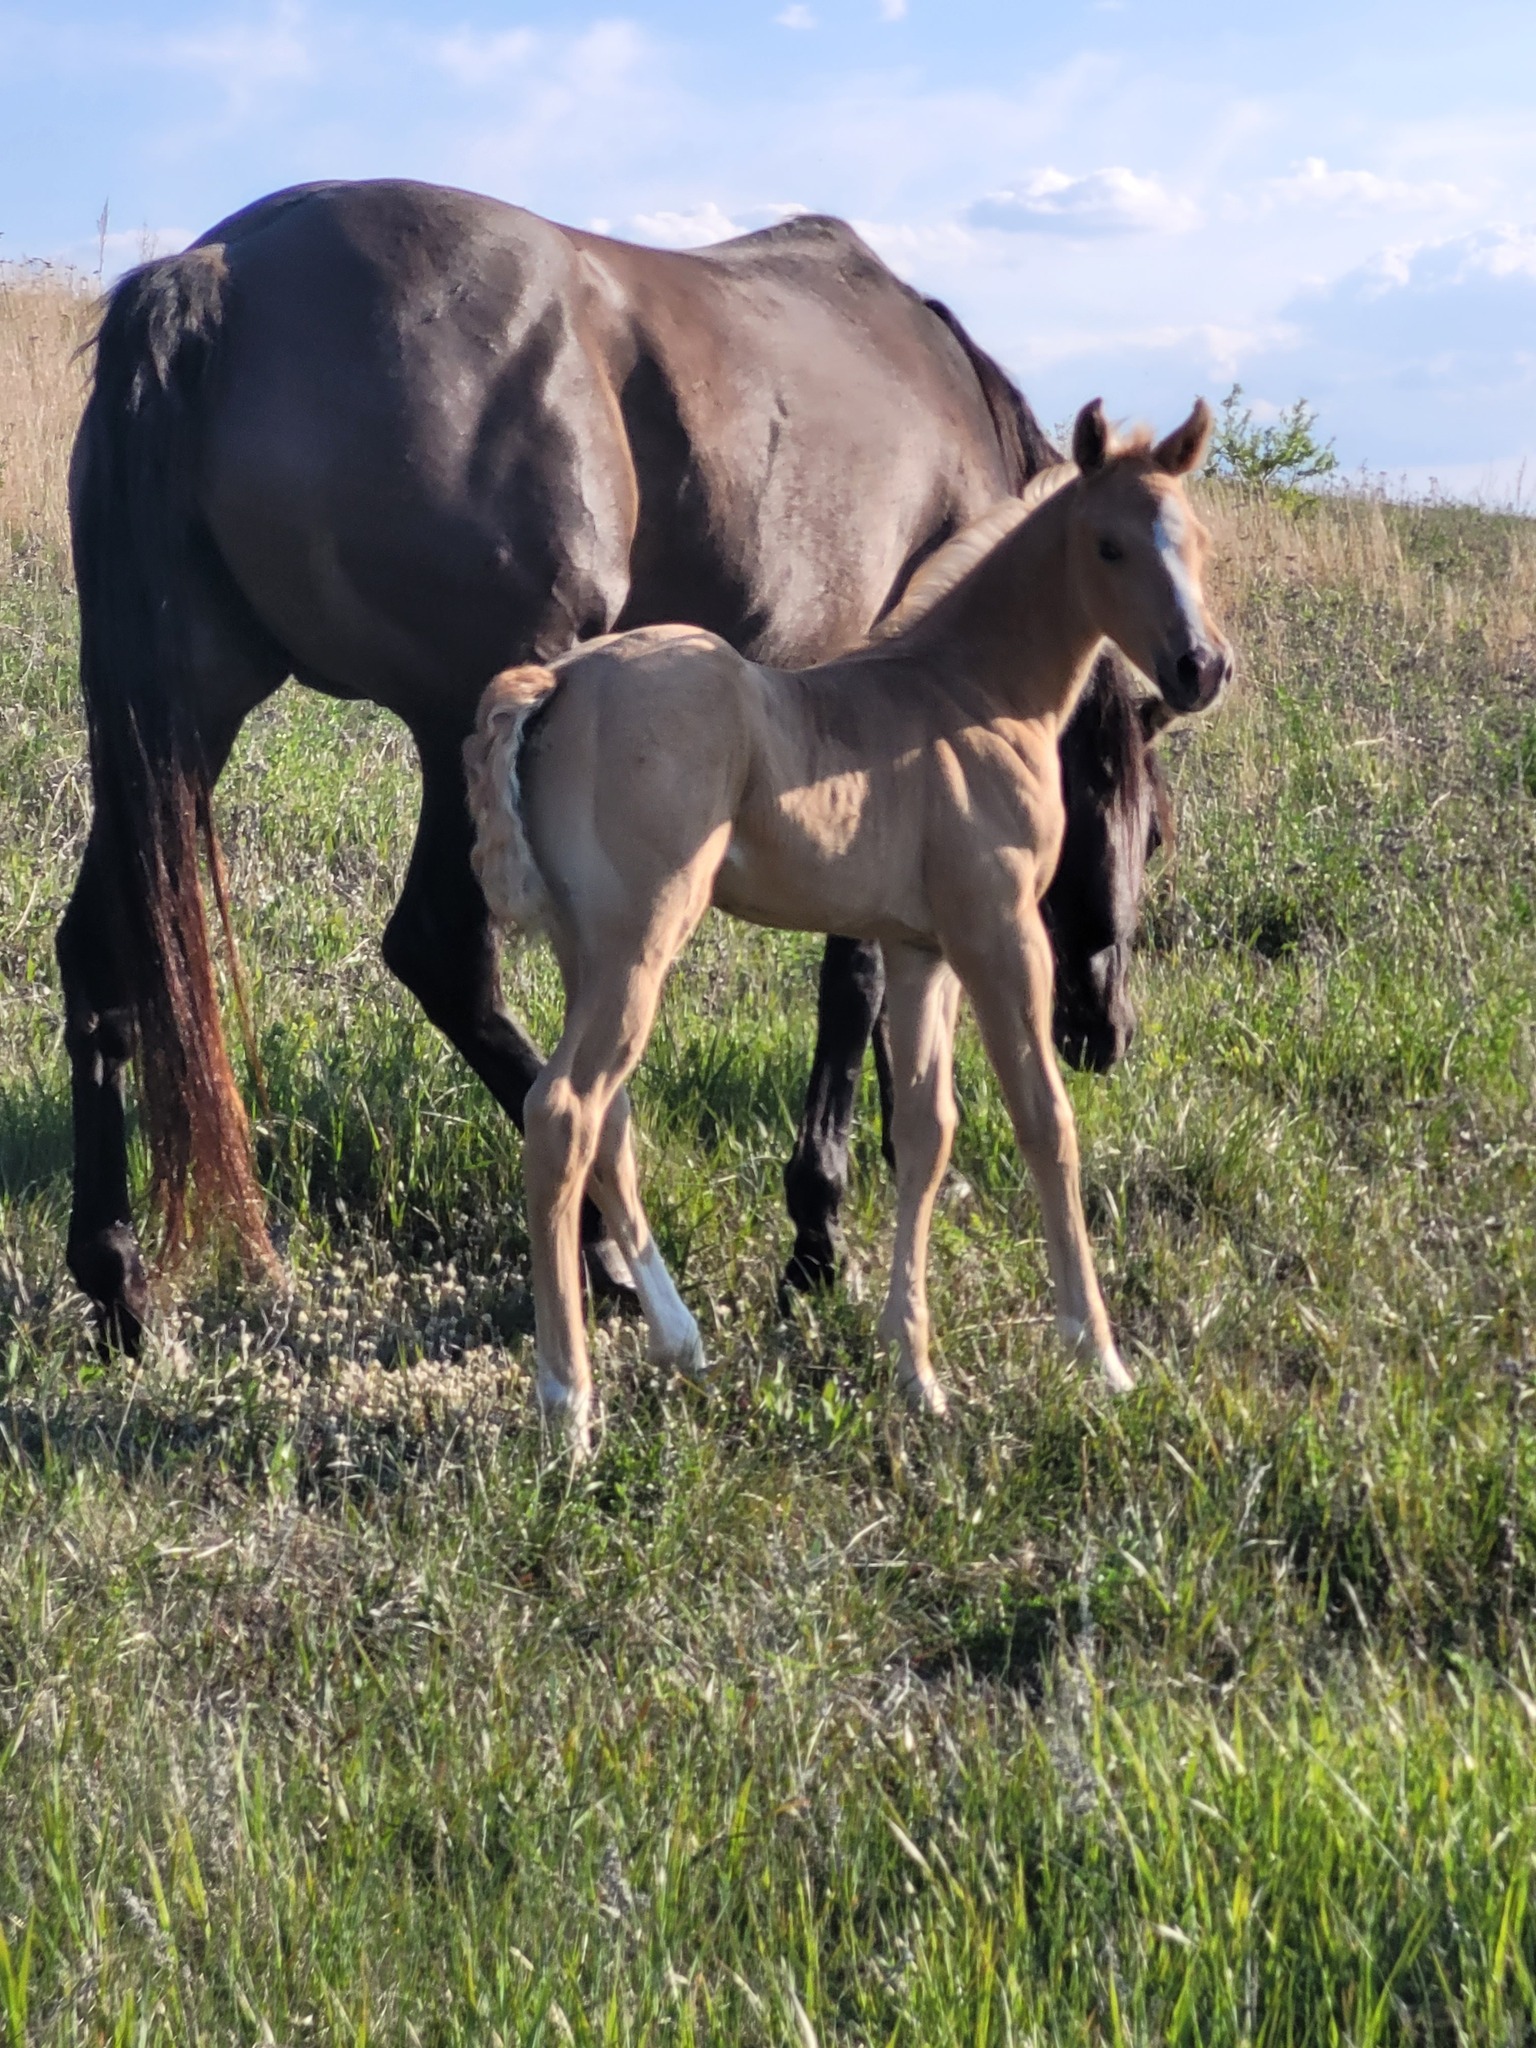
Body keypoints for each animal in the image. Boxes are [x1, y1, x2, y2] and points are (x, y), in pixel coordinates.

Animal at [59, 178, 1171, 1348]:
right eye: (1154, 835)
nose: (1106, 1032)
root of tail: (217, 274)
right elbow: (854, 974)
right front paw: (818, 1234)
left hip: (188, 713)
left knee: (102, 952)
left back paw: (116, 1276)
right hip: (458, 720)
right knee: (446, 959)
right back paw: (606, 1252)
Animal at [465, 400, 1232, 1454]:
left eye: (1196, 540)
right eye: (1110, 545)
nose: (1202, 668)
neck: (968, 697)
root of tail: (555, 683)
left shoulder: (920, 951)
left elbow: (925, 1130)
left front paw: (916, 1372)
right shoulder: (1001, 936)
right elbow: (1044, 1118)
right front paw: (1098, 1357)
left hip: (594, 951)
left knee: (603, 1117)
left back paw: (681, 1339)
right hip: (640, 942)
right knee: (564, 1112)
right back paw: (569, 1406)